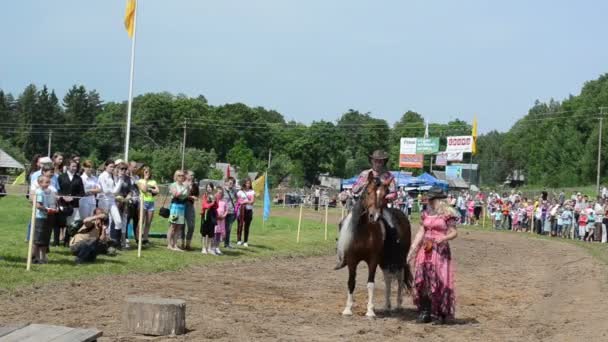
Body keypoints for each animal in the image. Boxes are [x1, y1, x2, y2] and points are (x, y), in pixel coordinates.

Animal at [334, 172, 416, 316]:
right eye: (368, 192)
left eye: (384, 195)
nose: (374, 216)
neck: (363, 231)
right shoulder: (352, 260)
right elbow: (351, 282)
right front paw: (348, 309)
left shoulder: (373, 260)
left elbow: (370, 283)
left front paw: (370, 311)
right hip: (384, 260)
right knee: (388, 278)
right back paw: (387, 305)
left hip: (398, 259)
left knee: (400, 278)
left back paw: (398, 304)